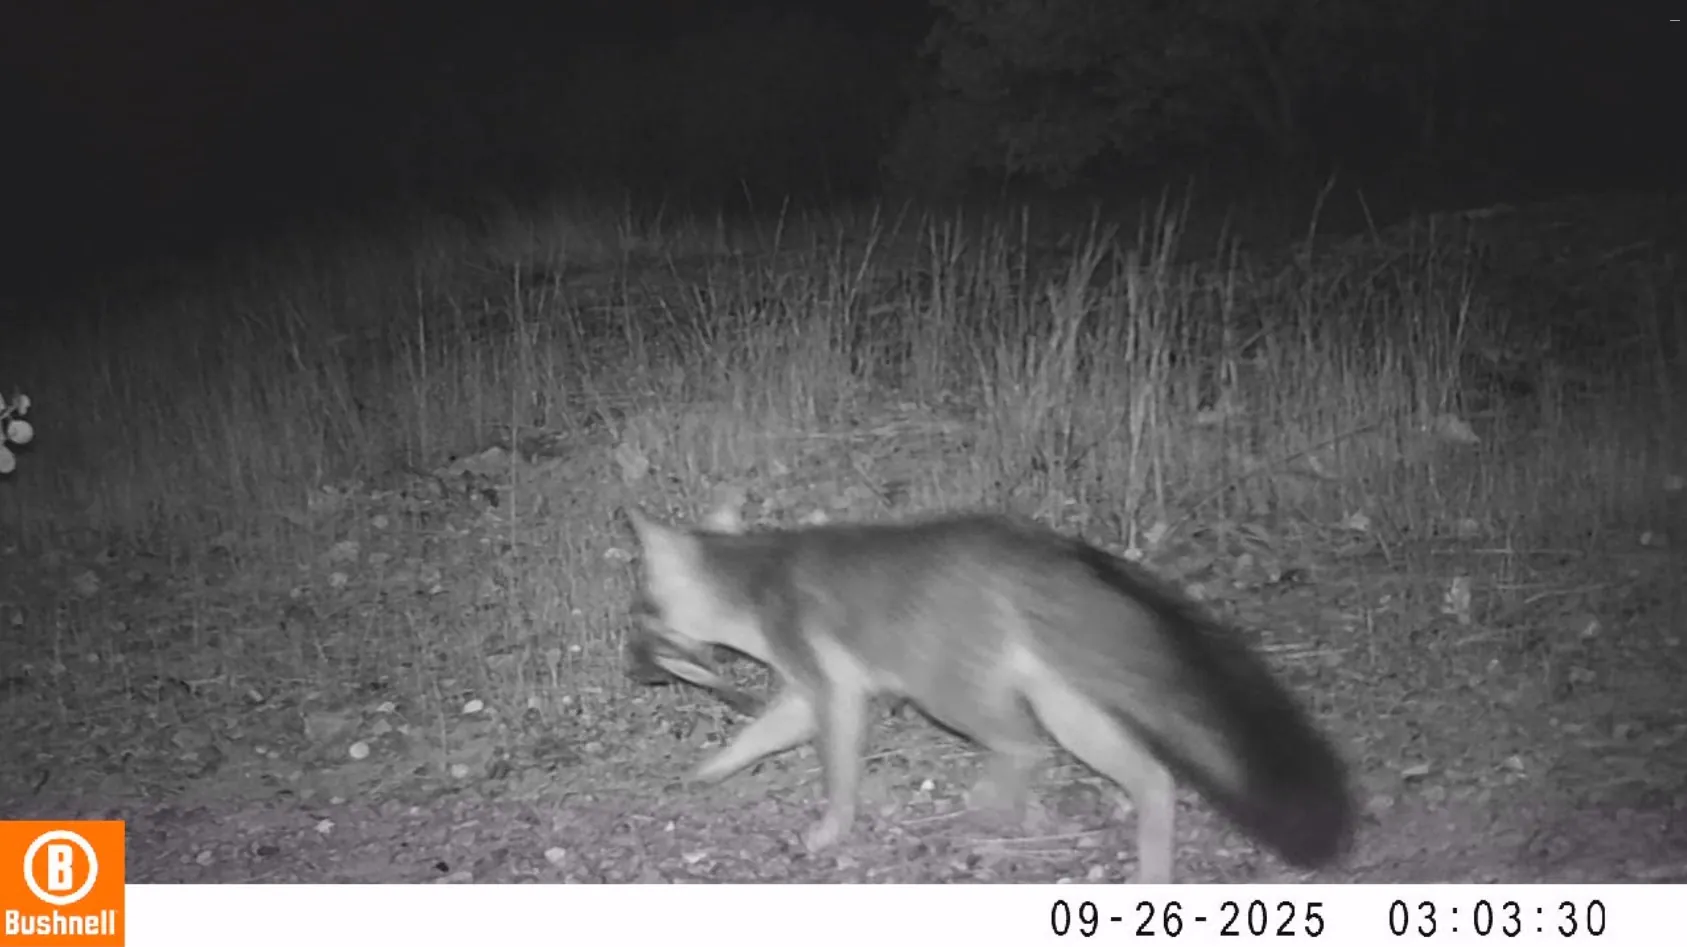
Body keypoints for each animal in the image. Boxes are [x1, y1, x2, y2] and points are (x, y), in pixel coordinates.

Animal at [624, 505, 1354, 882]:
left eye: (643, 609)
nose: (630, 661)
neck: (756, 574)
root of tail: (1034, 552)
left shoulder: (833, 689)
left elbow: (837, 771)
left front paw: (832, 826)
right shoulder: (808, 692)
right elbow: (756, 736)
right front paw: (705, 770)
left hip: (946, 689)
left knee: (1023, 745)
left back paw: (993, 805)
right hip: (1066, 705)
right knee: (1151, 775)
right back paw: (1148, 868)